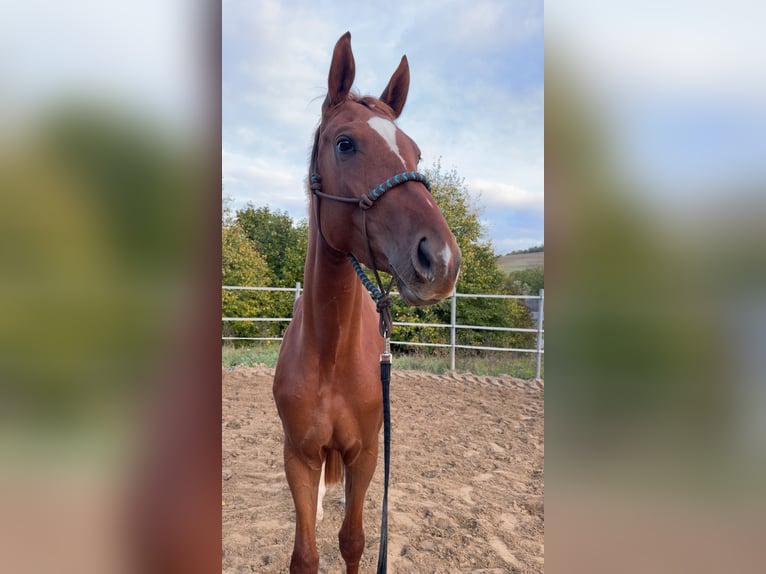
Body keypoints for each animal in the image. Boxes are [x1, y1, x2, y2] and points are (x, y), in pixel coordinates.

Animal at [273, 32, 461, 574]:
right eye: (345, 143)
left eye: (415, 152)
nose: (441, 259)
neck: (331, 352)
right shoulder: (299, 455)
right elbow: (305, 554)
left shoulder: (367, 454)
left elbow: (354, 541)